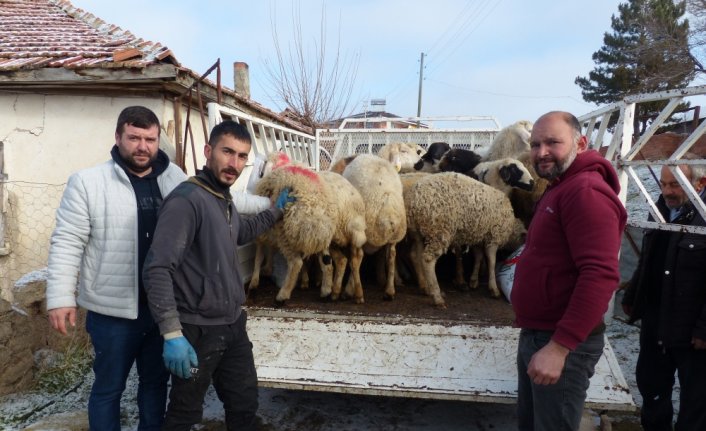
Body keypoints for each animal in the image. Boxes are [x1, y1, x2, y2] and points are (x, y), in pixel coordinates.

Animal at [342, 154, 408, 300]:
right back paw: (389, 290)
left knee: (357, 257)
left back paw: (354, 291)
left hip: (363, 229)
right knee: (391, 256)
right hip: (395, 235)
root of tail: (388, 207)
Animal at [404, 172, 524, 308]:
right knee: (427, 260)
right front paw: (494, 289)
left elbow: (478, 257)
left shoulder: (478, 237)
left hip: (419, 233)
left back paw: (426, 287)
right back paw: (437, 296)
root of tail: (414, 198)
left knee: (417, 256)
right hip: (439, 231)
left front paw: (474, 280)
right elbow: (491, 261)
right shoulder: (493, 237)